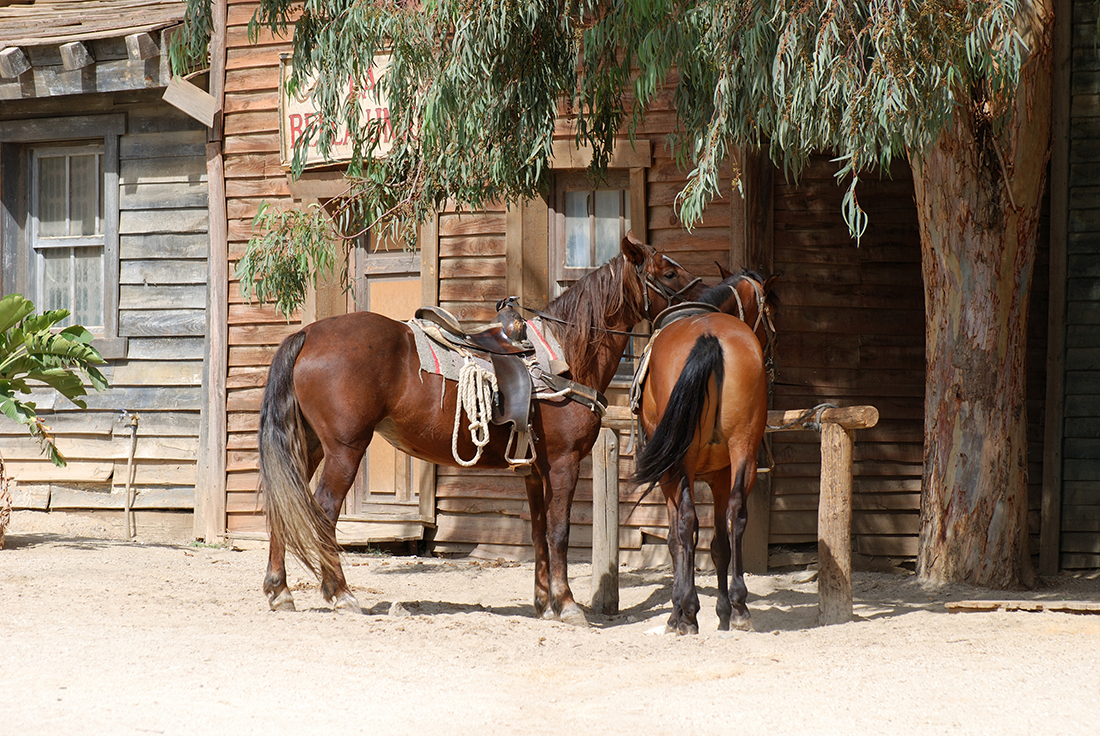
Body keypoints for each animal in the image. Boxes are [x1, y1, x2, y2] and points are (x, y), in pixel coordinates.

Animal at [258, 232, 704, 624]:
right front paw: (567, 605)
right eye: (667, 272)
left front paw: (544, 604)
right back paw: (341, 593)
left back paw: (279, 590)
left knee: (285, 504)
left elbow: (539, 532)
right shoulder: (564, 463)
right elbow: (559, 531)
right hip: (345, 449)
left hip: (310, 445)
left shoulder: (535, 470)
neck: (566, 355)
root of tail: (308, 333)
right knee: (322, 513)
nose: (703, 301)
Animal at [633, 269, 778, 633]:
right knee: (736, 513)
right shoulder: (719, 474)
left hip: (679, 464)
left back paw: (687, 610)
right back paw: (740, 607)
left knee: (686, 521)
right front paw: (724, 610)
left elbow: (676, 539)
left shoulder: (669, 476)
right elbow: (719, 544)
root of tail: (709, 337)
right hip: (743, 450)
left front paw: (678, 612)